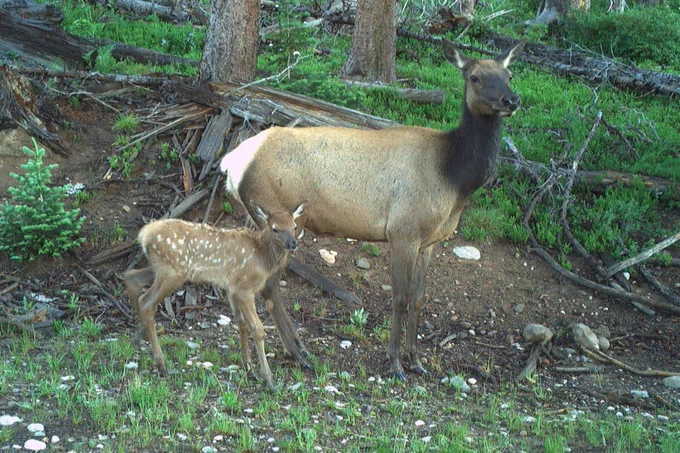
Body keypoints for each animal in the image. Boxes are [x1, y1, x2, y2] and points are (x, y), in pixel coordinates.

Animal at [123, 202, 306, 390]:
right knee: (146, 302)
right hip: (172, 270)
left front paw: (249, 367)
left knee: (132, 277)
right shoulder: (244, 289)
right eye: (275, 229)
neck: (262, 258)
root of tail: (144, 235)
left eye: (294, 226)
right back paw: (161, 364)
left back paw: (137, 339)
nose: (293, 243)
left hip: (161, 269)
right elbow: (257, 328)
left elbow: (241, 324)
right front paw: (268, 380)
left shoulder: (232, 289)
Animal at [219, 39, 525, 381]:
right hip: (278, 218)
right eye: (474, 77)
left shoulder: (429, 241)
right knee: (270, 285)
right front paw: (395, 363)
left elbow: (418, 298)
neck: (454, 177)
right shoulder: (403, 231)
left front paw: (416, 360)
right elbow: (400, 298)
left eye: (509, 74)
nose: (511, 100)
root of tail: (231, 164)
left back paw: (296, 348)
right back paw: (297, 353)